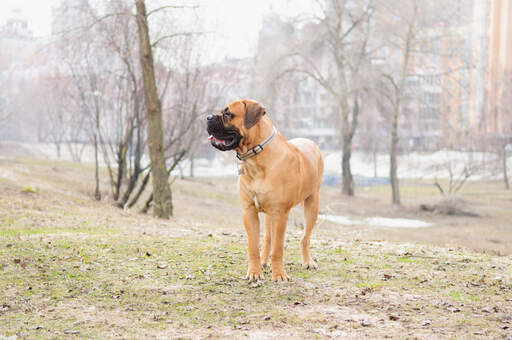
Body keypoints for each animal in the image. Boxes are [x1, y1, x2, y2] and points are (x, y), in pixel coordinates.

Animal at [205, 99, 322, 282]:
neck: (255, 159)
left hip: (312, 204)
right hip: (269, 214)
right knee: (267, 238)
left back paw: (307, 262)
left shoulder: (280, 213)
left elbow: (278, 248)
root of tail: (310, 141)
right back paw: (264, 261)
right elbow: (253, 246)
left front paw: (279, 274)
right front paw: (254, 271)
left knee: (305, 237)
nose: (208, 117)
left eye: (228, 113)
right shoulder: (249, 211)